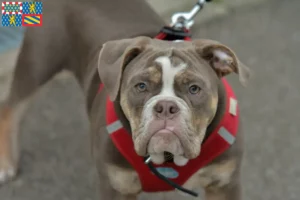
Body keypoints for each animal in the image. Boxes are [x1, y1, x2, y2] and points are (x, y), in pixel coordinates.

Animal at [0, 0, 250, 198]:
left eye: (194, 88)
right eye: (141, 86)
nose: (166, 106)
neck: (168, 160)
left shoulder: (224, 185)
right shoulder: (116, 187)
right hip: (38, 61)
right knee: (11, 108)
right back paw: (6, 164)